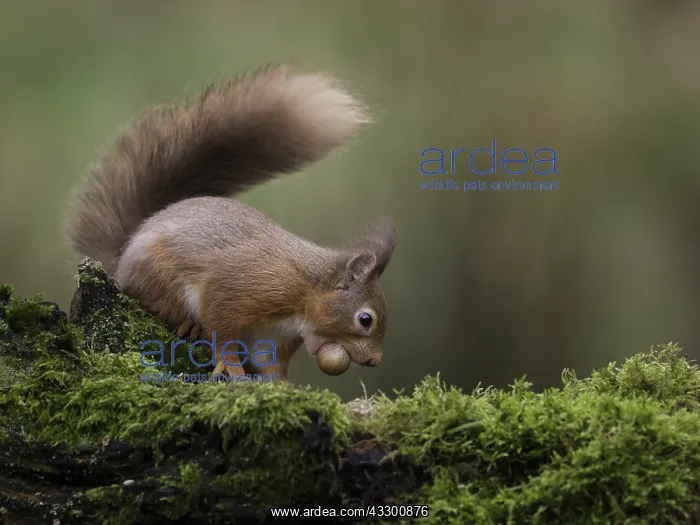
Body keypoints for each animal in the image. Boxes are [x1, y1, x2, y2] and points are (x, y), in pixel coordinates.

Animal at [65, 64, 397, 381]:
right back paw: (190, 324)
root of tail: (120, 261)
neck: (307, 290)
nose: (375, 360)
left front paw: (282, 385)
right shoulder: (241, 286)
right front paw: (232, 366)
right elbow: (222, 329)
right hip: (157, 275)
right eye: (365, 319)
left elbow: (271, 362)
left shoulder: (273, 336)